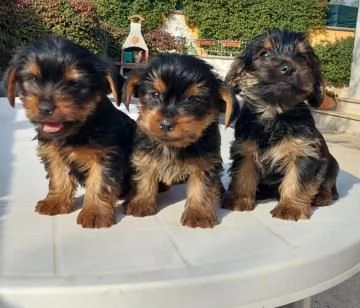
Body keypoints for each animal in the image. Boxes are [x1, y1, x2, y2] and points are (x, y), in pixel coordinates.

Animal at [4, 36, 136, 229]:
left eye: (74, 84)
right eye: (33, 78)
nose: (45, 108)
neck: (78, 130)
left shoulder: (106, 155)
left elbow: (100, 182)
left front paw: (95, 212)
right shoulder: (52, 152)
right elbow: (59, 176)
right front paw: (56, 201)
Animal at [122, 53, 238, 227]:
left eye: (193, 100)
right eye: (155, 94)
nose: (165, 124)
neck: (174, 146)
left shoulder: (206, 162)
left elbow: (201, 186)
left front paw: (198, 214)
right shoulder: (144, 155)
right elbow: (145, 174)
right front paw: (140, 202)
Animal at [224, 28, 338, 221]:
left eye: (302, 57)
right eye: (265, 54)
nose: (288, 68)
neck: (275, 113)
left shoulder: (303, 152)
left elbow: (297, 180)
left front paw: (290, 207)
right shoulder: (245, 149)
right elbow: (243, 175)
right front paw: (239, 199)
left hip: (331, 164)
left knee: (329, 183)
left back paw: (322, 196)